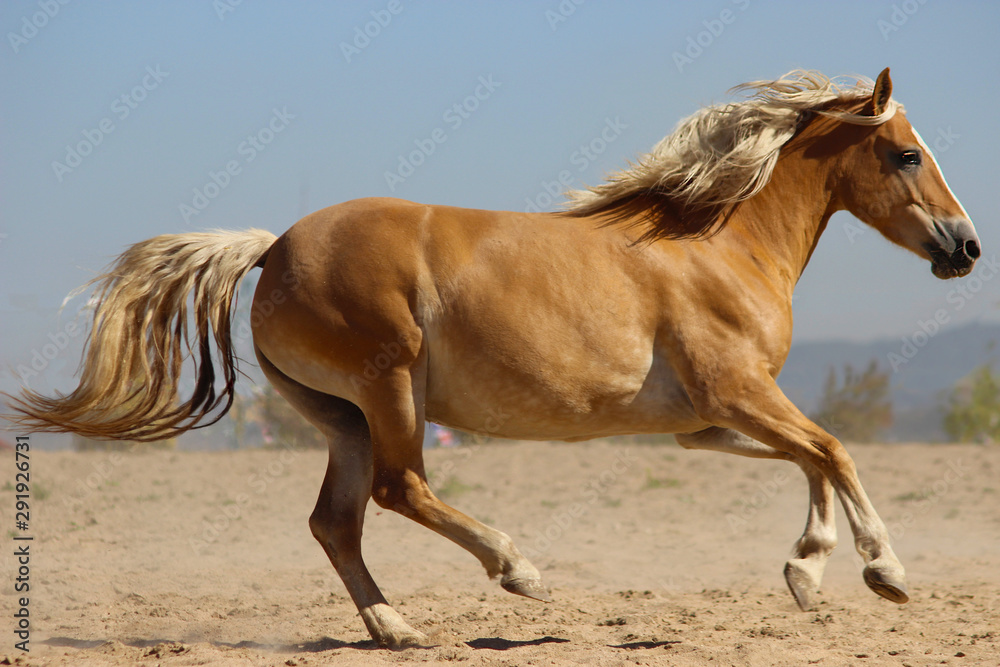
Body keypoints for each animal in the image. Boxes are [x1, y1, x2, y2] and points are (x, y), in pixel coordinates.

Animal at [7, 69, 981, 648]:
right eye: (907, 154)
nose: (965, 247)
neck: (715, 243)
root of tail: (272, 246)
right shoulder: (736, 393)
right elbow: (832, 449)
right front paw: (883, 572)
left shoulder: (705, 422)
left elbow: (810, 456)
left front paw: (808, 574)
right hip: (391, 387)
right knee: (401, 489)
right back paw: (518, 571)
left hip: (340, 415)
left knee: (336, 520)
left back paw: (395, 626)